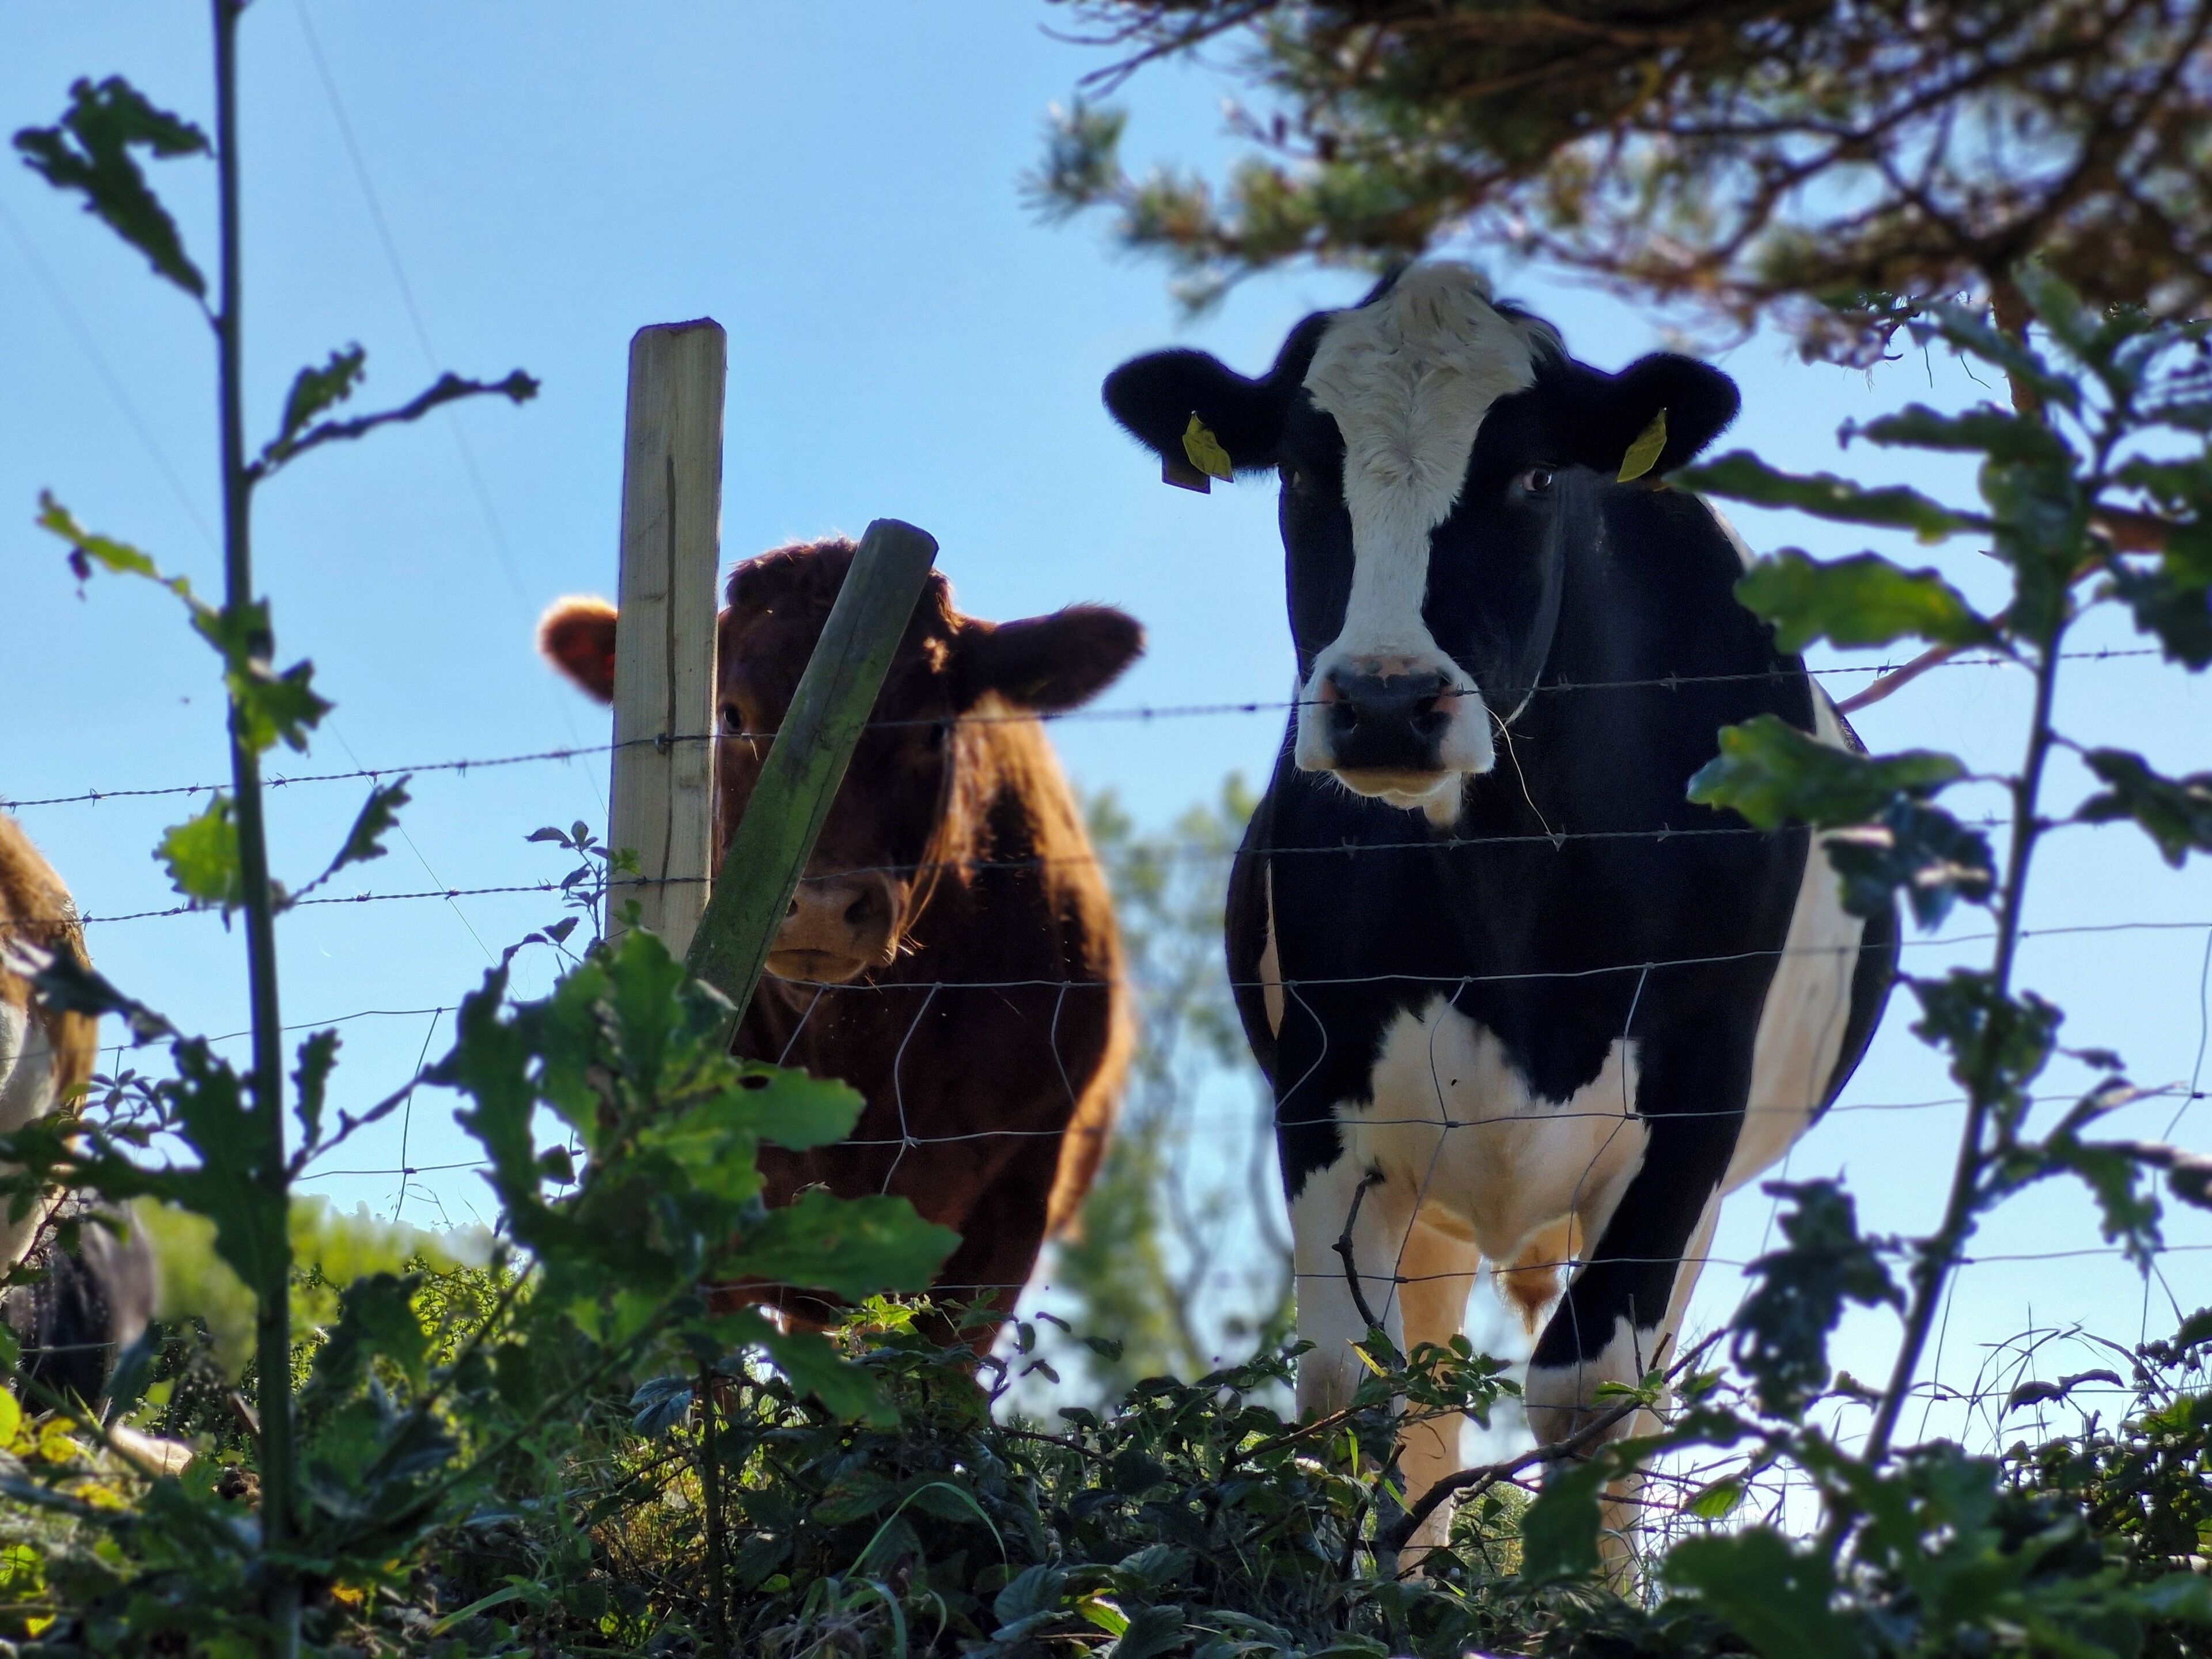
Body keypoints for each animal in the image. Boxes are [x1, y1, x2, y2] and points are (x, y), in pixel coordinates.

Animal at [1102, 261, 1898, 1553]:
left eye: (1531, 477)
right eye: (1306, 474)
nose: (1385, 703)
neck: (1512, 884)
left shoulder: (1696, 1094)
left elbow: (1589, 1394)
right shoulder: (1323, 1094)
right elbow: (1351, 1386)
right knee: (1425, 1389)